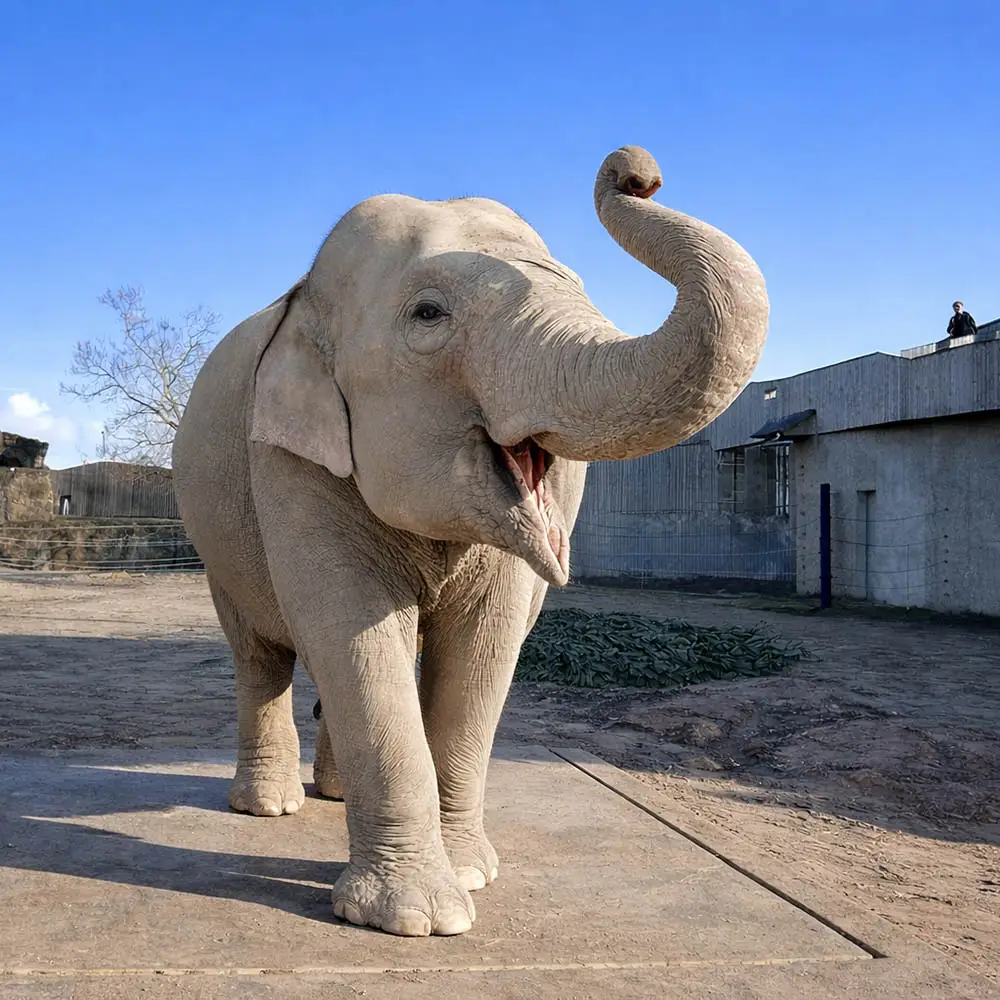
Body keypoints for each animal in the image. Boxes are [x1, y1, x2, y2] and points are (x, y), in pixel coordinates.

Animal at [171, 145, 768, 938]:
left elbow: (482, 647)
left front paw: (471, 877)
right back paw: (269, 806)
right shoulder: (289, 458)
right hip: (215, 543)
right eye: (428, 314)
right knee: (260, 654)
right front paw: (419, 919)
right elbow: (351, 632)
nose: (637, 169)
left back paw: (334, 796)